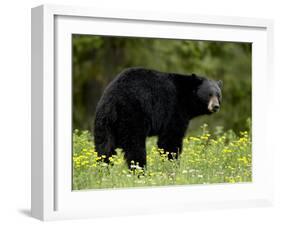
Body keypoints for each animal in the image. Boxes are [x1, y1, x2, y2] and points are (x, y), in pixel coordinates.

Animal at [93, 67, 222, 168]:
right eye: (209, 94)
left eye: (218, 95)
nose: (215, 106)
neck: (186, 98)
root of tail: (113, 100)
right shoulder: (174, 110)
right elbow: (170, 140)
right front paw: (173, 165)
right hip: (132, 116)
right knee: (135, 147)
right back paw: (140, 171)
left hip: (104, 122)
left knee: (104, 147)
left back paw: (104, 169)